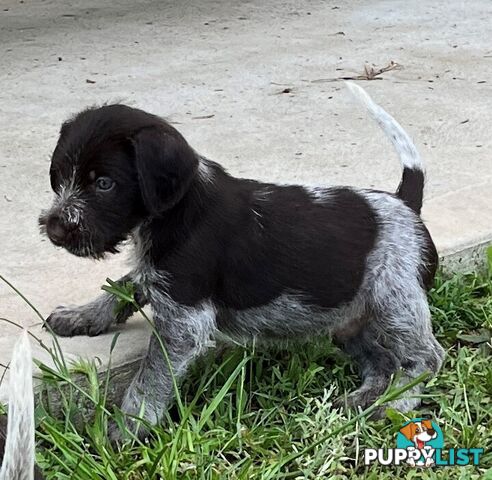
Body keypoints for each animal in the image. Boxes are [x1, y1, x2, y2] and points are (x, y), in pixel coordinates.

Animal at [38, 83, 446, 438]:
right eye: (59, 177)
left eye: (104, 184)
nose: (53, 228)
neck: (179, 208)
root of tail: (405, 203)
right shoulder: (161, 277)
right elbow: (123, 285)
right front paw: (83, 315)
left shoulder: (184, 321)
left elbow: (150, 377)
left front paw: (127, 428)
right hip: (347, 320)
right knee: (384, 361)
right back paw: (366, 398)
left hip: (395, 302)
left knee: (425, 358)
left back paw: (395, 404)